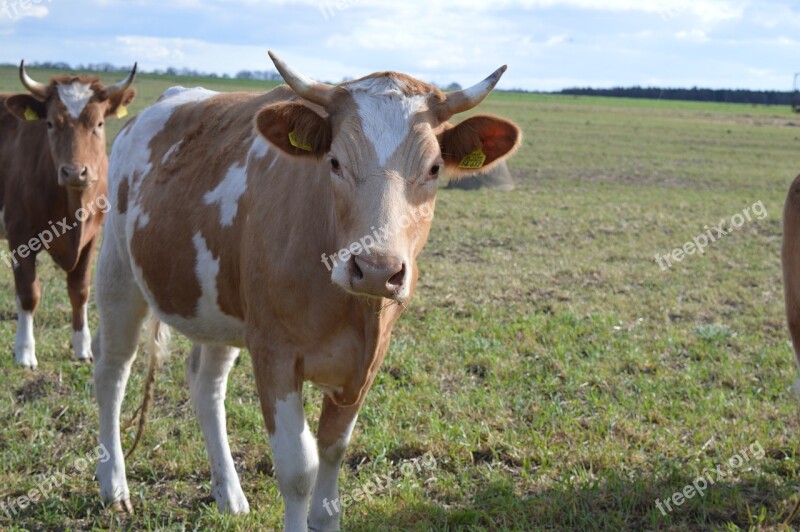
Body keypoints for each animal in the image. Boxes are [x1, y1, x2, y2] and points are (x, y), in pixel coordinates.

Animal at [0, 62, 136, 368]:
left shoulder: (92, 238)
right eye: (50, 124)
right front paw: (24, 351)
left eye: (99, 124)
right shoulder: (19, 233)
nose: (74, 172)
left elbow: (80, 290)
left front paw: (82, 346)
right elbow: (28, 293)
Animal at [94, 52, 520, 528]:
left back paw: (229, 493)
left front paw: (325, 514)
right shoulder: (274, 352)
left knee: (206, 384)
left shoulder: (367, 361)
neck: (347, 308)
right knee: (112, 370)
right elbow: (299, 467)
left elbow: (333, 450)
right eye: (333, 162)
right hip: (118, 273)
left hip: (220, 304)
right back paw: (114, 485)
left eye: (433, 169)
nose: (376, 270)